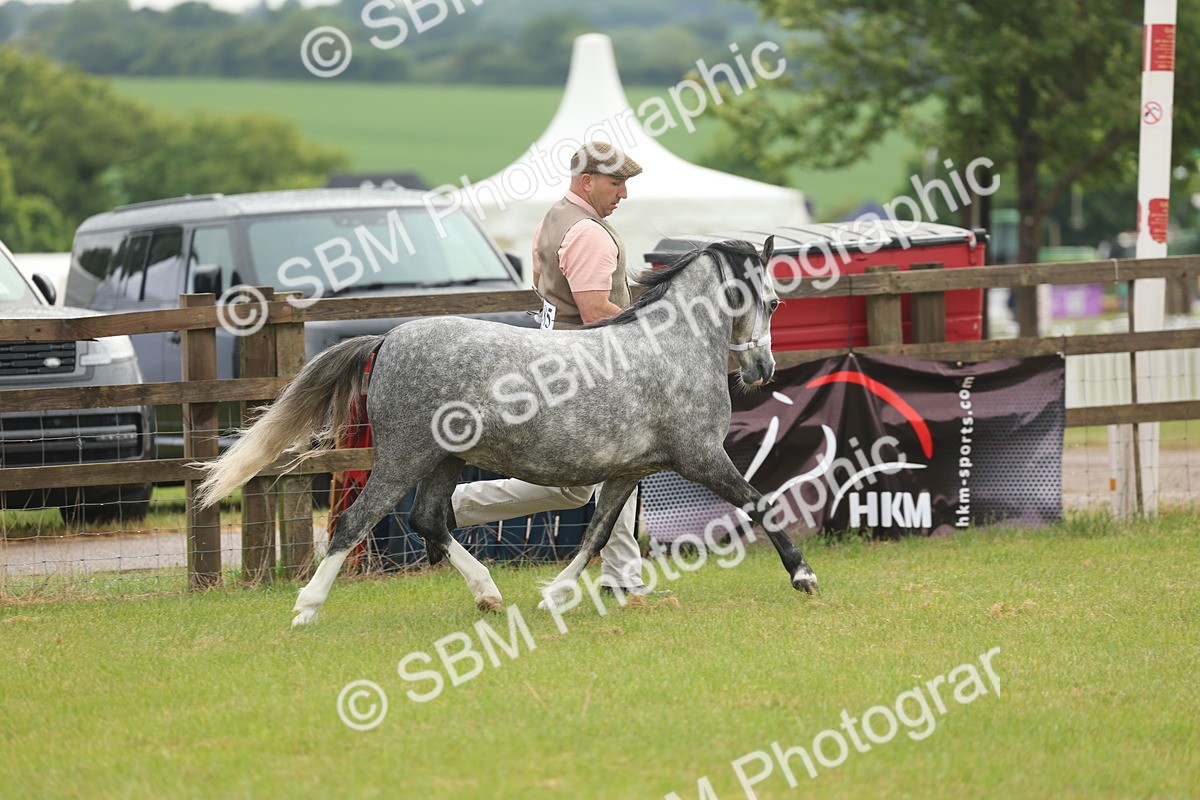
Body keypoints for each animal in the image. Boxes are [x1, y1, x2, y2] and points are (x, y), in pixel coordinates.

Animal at [194, 236, 819, 626]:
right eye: (772, 300)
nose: (763, 371)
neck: (672, 346)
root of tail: (387, 339)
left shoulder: (629, 472)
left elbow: (596, 537)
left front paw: (554, 597)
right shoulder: (701, 457)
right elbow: (760, 503)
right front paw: (804, 576)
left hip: (445, 460)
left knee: (431, 518)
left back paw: (490, 595)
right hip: (402, 457)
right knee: (355, 521)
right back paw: (307, 607)